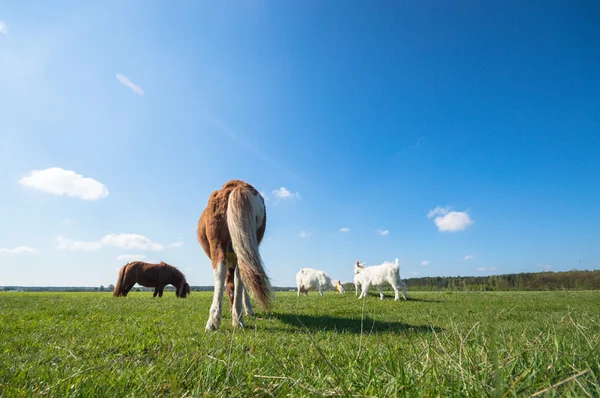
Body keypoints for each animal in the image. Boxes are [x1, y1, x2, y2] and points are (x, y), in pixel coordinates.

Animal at [197, 180, 272, 330]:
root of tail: (238, 185)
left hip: (218, 243)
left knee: (220, 272)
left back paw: (213, 321)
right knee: (243, 273)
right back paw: (238, 319)